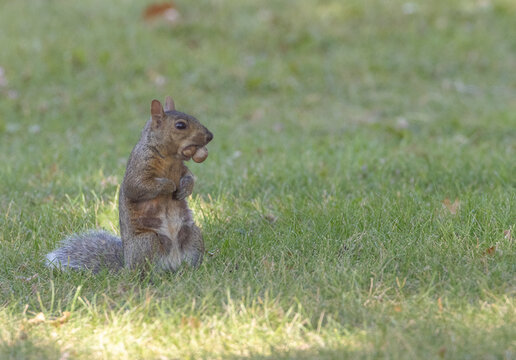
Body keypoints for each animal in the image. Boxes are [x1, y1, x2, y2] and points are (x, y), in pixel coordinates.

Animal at [45, 96, 213, 272]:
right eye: (180, 125)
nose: (210, 136)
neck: (170, 157)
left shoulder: (182, 168)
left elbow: (189, 176)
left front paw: (185, 189)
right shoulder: (138, 169)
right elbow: (138, 187)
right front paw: (169, 185)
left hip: (193, 234)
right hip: (147, 242)